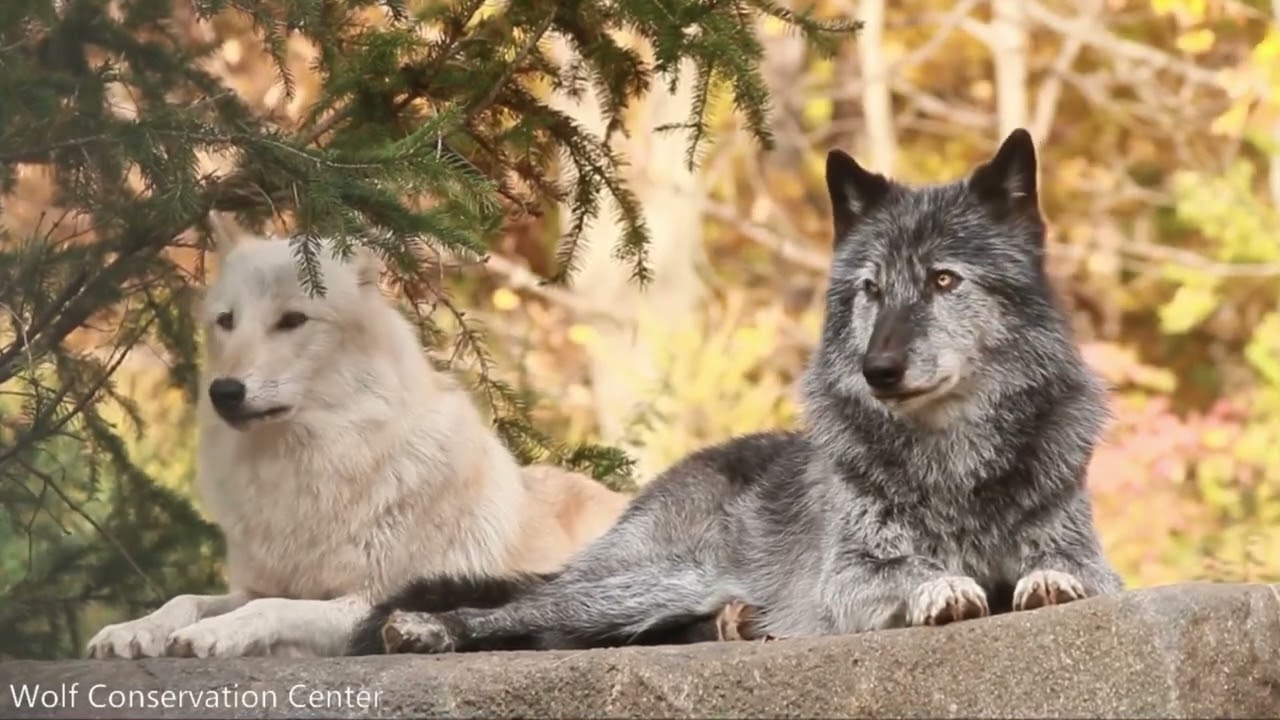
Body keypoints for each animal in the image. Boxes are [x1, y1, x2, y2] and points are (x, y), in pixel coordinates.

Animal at [84, 222, 635, 659]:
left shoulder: (369, 602)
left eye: (292, 320)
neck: (312, 468)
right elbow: (186, 600)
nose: (224, 392)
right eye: (226, 321)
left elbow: (271, 609)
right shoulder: (260, 582)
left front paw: (212, 635)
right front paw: (133, 631)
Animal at [361, 128, 1124, 654]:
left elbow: (1067, 570)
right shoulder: (846, 578)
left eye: (944, 280)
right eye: (871, 290)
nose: (878, 370)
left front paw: (1046, 582)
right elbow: (906, 573)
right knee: (523, 615)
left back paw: (735, 625)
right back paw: (425, 629)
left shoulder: (1095, 562)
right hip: (657, 578)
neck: (955, 463)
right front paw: (940, 584)